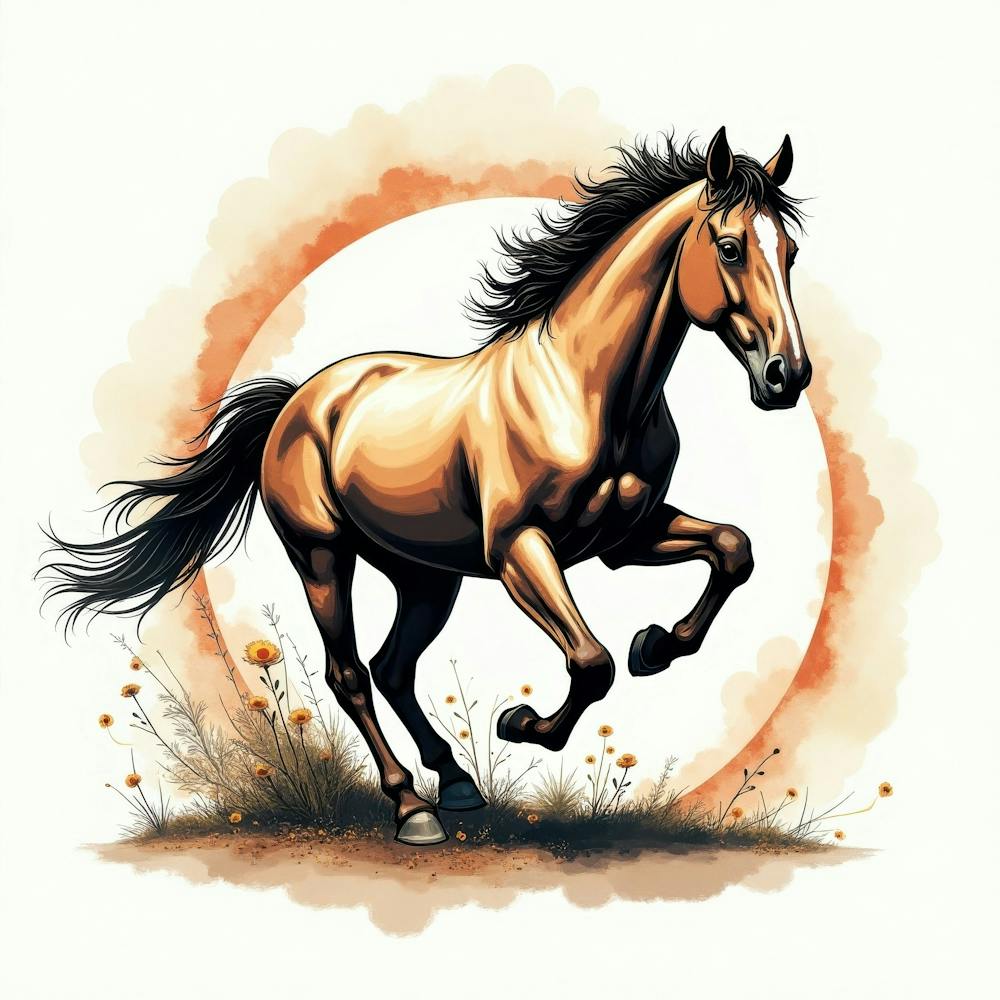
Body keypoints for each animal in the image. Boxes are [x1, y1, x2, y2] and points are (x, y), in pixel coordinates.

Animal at [42, 127, 811, 846]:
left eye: (791, 254)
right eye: (732, 247)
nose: (787, 376)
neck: (585, 393)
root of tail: (299, 400)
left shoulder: (625, 537)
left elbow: (733, 549)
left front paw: (655, 645)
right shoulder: (519, 550)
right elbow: (591, 662)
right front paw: (522, 722)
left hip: (425, 575)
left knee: (393, 668)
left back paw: (457, 782)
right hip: (322, 556)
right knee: (352, 674)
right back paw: (413, 808)